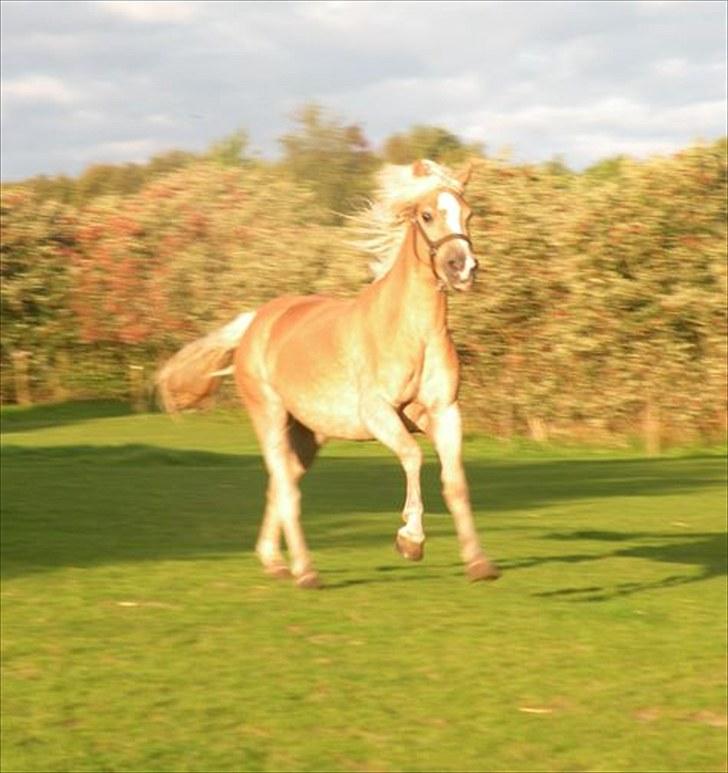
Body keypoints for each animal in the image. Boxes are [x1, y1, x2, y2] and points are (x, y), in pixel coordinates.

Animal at [156, 160, 500, 588]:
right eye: (426, 215)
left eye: (468, 214)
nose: (463, 268)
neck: (411, 332)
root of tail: (258, 321)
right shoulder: (379, 414)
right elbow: (413, 456)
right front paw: (410, 540)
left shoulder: (445, 412)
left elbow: (455, 483)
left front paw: (479, 562)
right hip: (269, 416)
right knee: (287, 490)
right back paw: (305, 571)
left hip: (308, 434)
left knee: (281, 483)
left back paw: (274, 561)